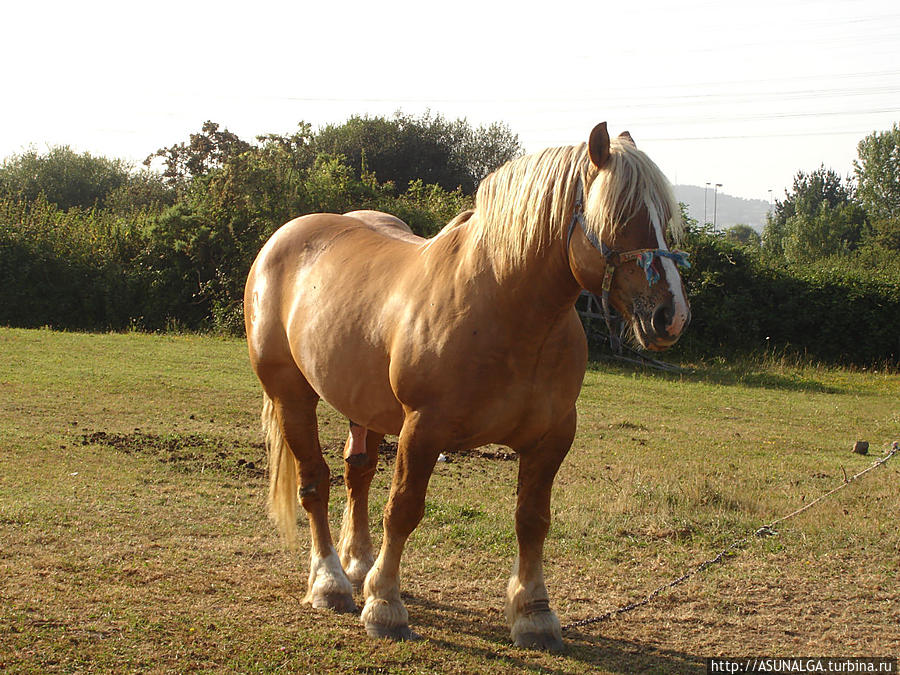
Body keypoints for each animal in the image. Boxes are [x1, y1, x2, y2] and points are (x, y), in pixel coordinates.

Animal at [243, 124, 692, 652]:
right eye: (621, 217)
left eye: (665, 218)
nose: (670, 316)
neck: (503, 308)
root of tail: (283, 238)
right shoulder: (423, 429)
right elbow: (404, 510)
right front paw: (385, 606)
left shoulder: (553, 437)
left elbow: (532, 519)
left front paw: (534, 614)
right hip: (292, 396)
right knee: (316, 483)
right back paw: (331, 583)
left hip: (364, 407)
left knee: (358, 473)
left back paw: (358, 565)